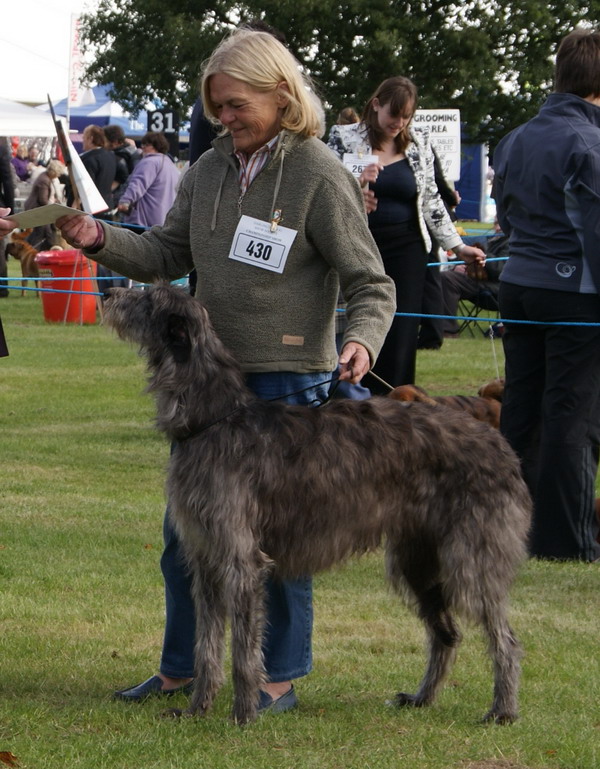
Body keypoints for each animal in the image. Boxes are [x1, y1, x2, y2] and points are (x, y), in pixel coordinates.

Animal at [103, 284, 528, 728]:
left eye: (149, 297)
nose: (110, 291)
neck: (214, 418)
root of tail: (497, 441)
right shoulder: (206, 558)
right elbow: (206, 644)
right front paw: (197, 708)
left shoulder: (241, 560)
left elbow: (243, 650)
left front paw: (243, 715)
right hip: (416, 559)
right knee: (447, 632)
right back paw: (422, 697)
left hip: (472, 558)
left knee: (506, 639)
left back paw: (502, 709)